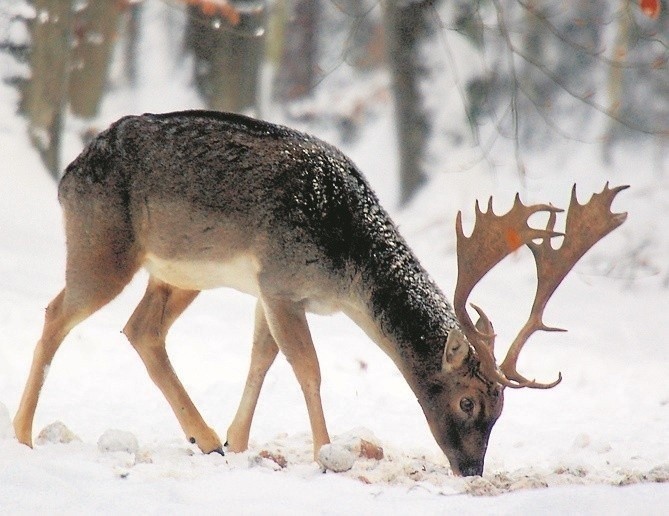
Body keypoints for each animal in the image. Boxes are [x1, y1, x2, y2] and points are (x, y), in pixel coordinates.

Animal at [11, 112, 628, 476]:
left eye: (503, 410)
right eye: (469, 401)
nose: (472, 470)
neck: (343, 268)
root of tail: (67, 175)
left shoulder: (269, 290)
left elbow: (262, 358)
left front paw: (238, 442)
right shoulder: (282, 281)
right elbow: (306, 368)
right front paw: (324, 452)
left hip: (181, 273)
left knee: (141, 330)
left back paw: (205, 438)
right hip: (103, 245)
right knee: (55, 313)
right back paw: (22, 435)